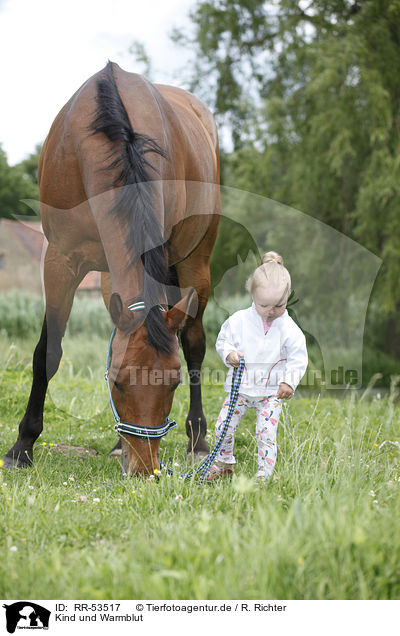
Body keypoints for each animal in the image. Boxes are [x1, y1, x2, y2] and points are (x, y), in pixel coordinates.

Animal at [1, 62, 220, 474]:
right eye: (117, 382)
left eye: (173, 384)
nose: (145, 468)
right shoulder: (60, 261)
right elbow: (47, 353)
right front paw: (22, 447)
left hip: (196, 264)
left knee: (195, 343)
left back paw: (198, 440)